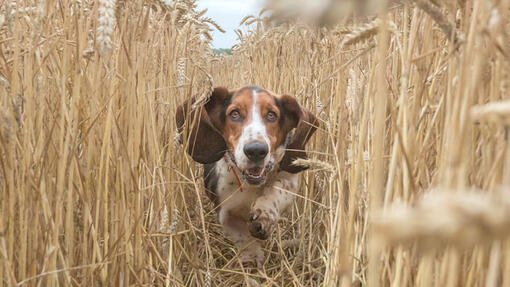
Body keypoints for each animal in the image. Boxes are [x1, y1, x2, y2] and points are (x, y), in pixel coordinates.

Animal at [177, 85, 316, 268]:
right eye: (234, 114)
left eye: (271, 115)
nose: (256, 150)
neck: (250, 185)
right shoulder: (225, 214)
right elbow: (244, 239)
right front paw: (252, 258)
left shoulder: (289, 180)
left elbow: (277, 189)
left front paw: (264, 213)